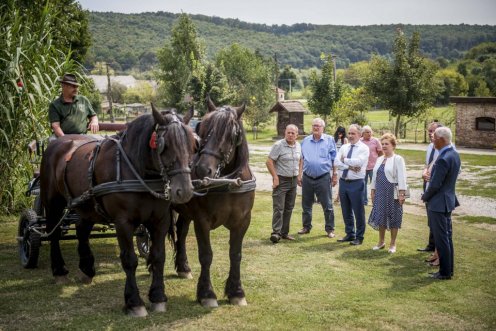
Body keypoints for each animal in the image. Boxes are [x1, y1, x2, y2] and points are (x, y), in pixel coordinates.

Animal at [40, 106, 196, 316]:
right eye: (165, 145)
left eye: (192, 144)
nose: (184, 190)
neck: (137, 171)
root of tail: (58, 143)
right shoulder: (123, 222)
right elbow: (129, 260)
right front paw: (134, 302)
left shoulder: (160, 220)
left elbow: (158, 256)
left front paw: (158, 297)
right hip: (52, 203)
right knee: (54, 233)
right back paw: (59, 271)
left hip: (87, 206)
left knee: (82, 230)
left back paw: (87, 268)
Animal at [173, 98, 256, 308]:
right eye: (203, 129)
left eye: (230, 134)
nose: (202, 169)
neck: (227, 183)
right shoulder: (202, 221)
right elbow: (206, 255)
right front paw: (206, 293)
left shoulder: (243, 222)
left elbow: (236, 254)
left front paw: (236, 291)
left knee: (181, 232)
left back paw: (183, 266)